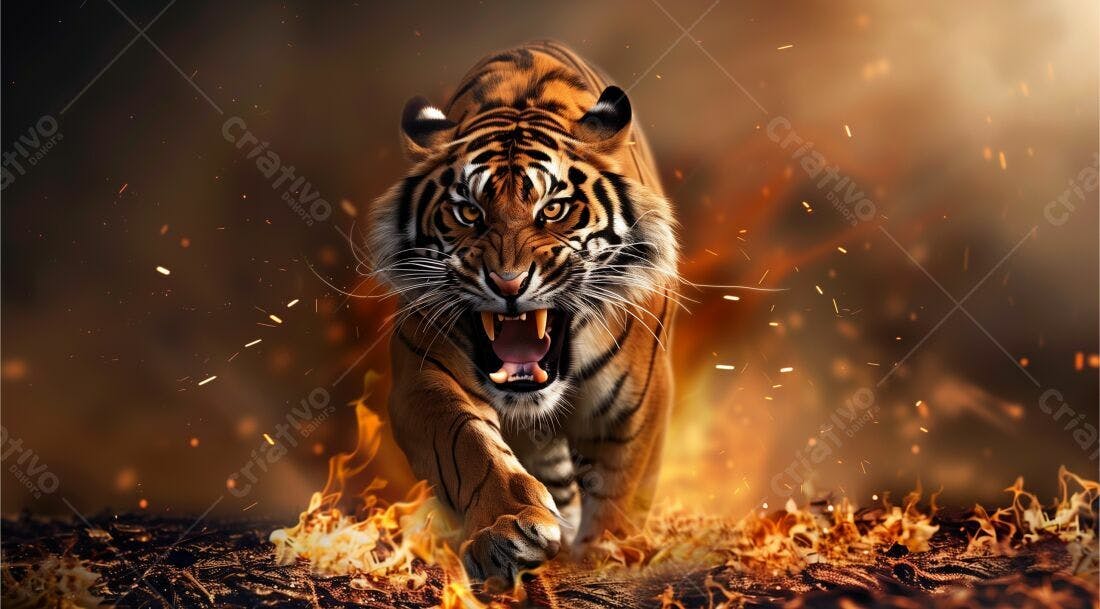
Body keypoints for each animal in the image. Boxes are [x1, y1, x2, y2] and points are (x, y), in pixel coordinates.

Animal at [366, 40, 679, 582]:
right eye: (468, 212)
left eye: (552, 210)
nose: (508, 283)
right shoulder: (420, 375)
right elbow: (467, 444)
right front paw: (508, 531)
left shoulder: (641, 400)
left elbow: (620, 490)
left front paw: (606, 555)